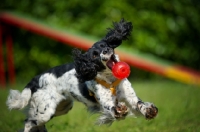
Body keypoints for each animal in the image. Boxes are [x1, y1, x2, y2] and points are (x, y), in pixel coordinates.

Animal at [6, 18, 158, 132]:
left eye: (104, 45)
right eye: (95, 55)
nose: (107, 50)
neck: (110, 79)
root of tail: (36, 79)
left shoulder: (129, 96)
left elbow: (138, 104)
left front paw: (149, 110)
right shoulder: (105, 101)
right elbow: (113, 108)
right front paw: (120, 109)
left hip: (62, 107)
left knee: (37, 124)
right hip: (45, 110)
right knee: (29, 122)